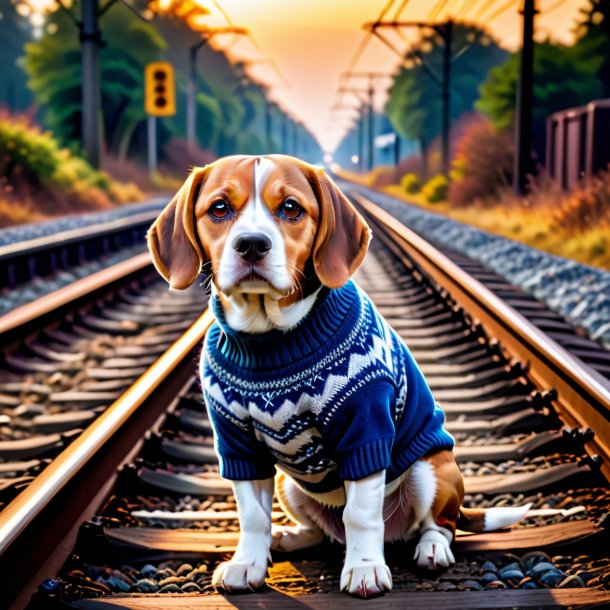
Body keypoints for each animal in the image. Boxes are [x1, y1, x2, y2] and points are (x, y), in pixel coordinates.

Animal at [147, 154, 528, 596]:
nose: (253, 244)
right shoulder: (237, 445)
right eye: (219, 208)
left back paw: (431, 549)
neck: (270, 341)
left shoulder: (365, 433)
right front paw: (247, 563)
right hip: (290, 486)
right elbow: (252, 515)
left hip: (430, 467)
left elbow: (360, 514)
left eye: (291, 208)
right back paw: (289, 537)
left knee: (438, 524)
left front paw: (364, 569)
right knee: (324, 532)